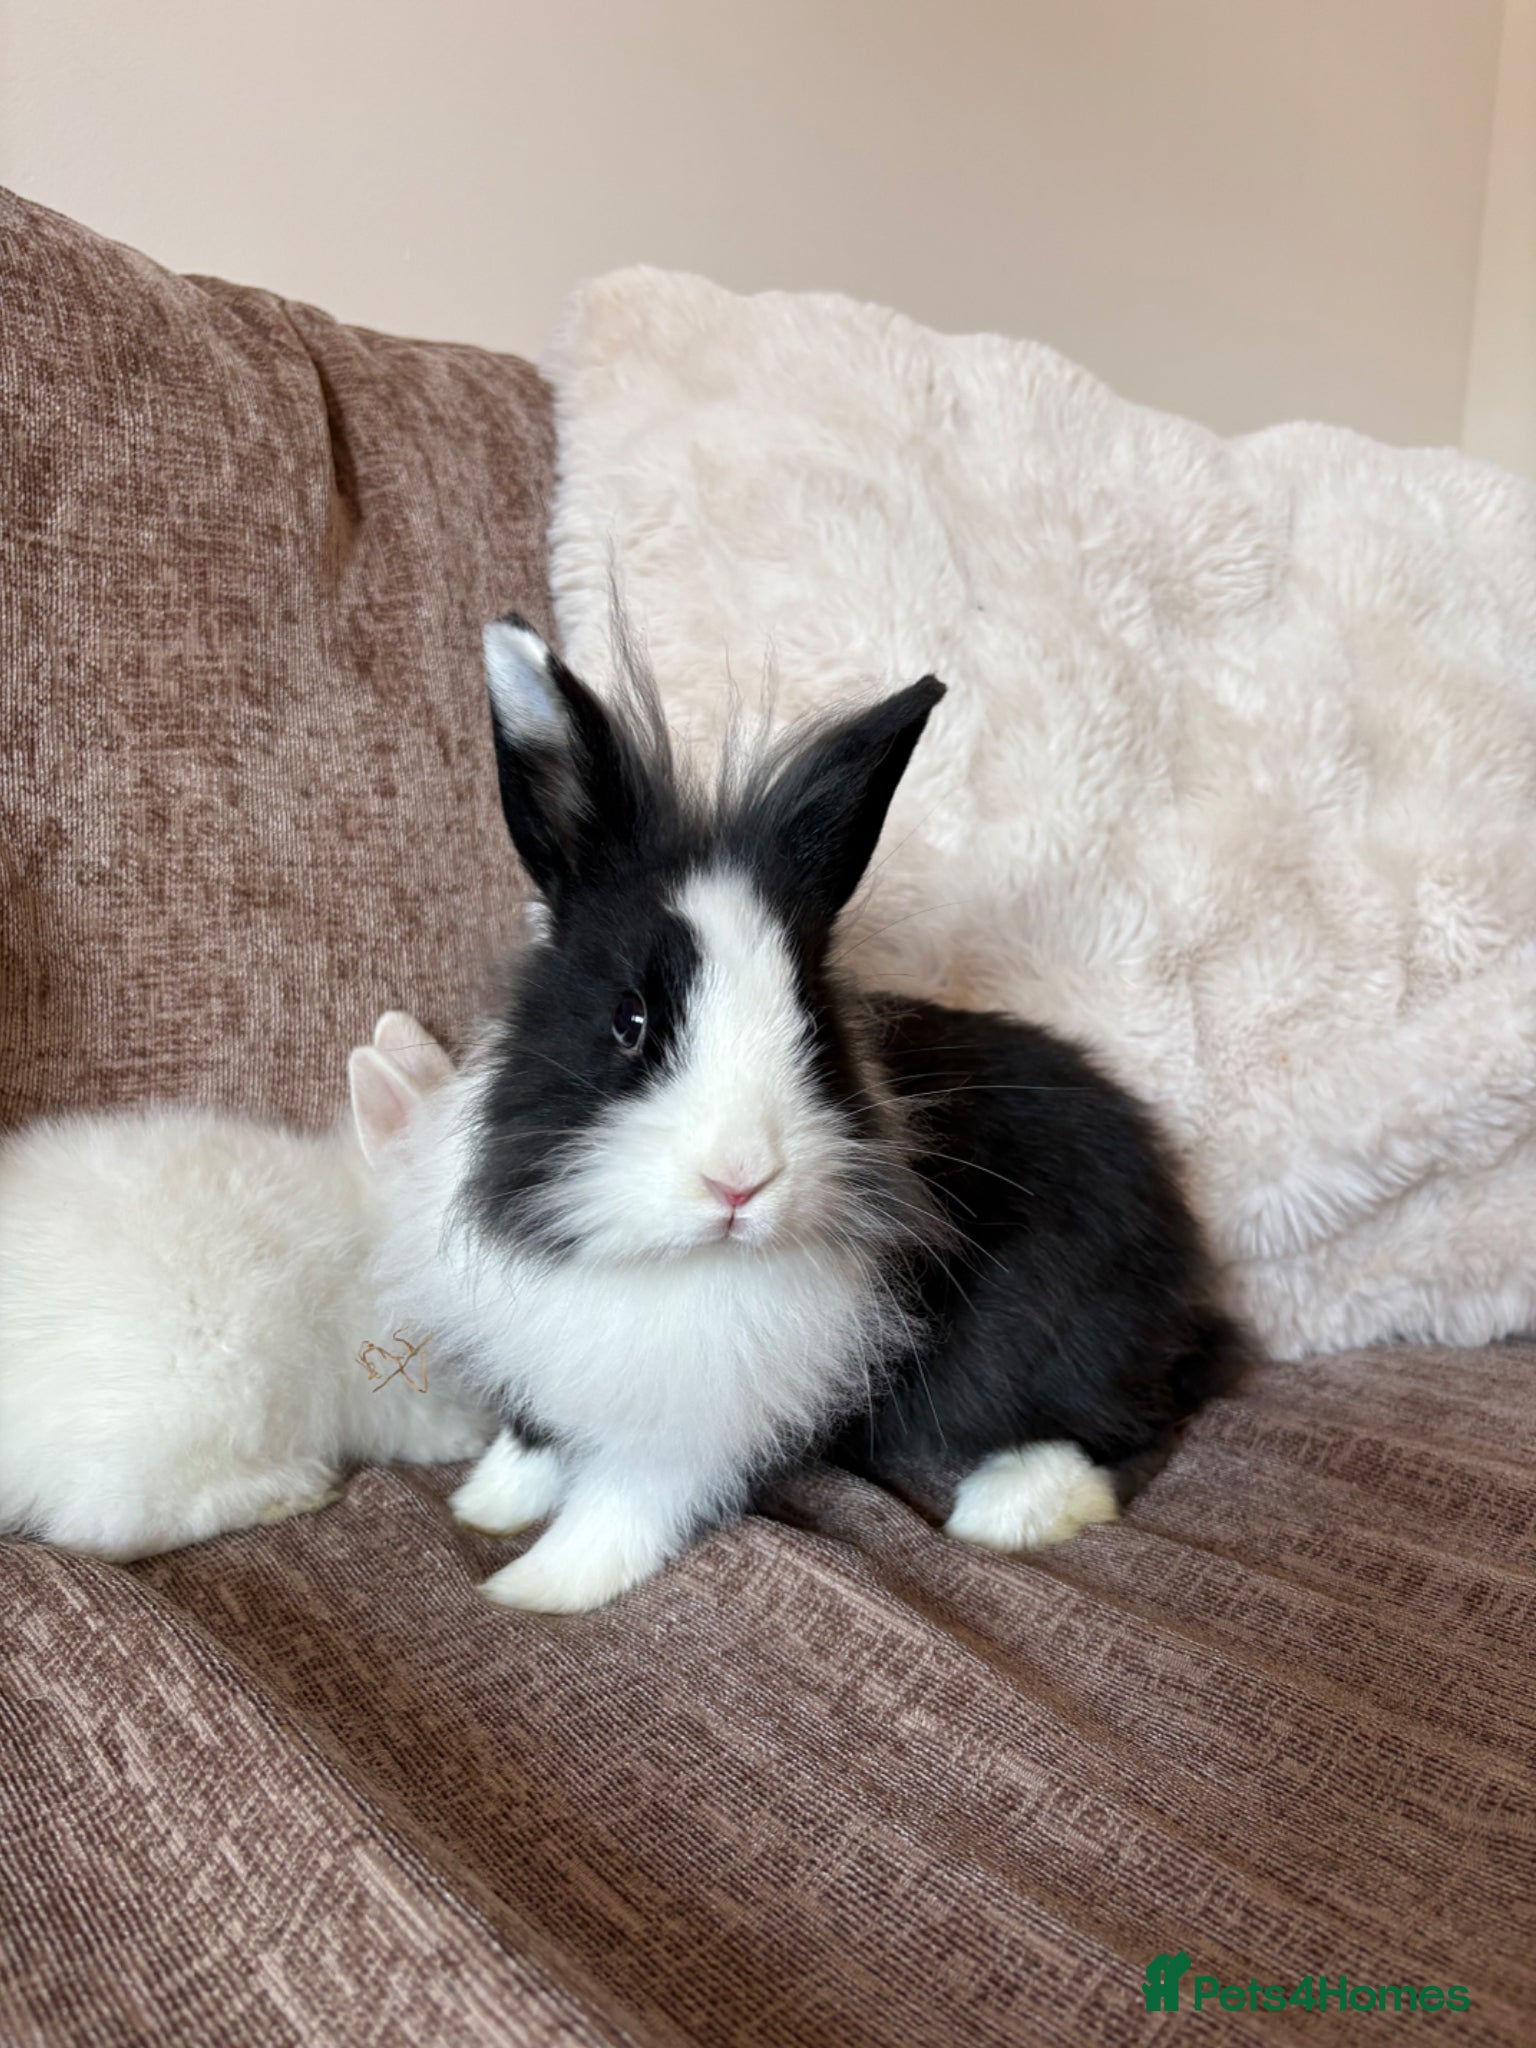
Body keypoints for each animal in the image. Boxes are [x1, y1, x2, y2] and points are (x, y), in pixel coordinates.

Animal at [372, 616, 1242, 1613]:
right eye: (630, 1022)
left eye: (815, 1027)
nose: (739, 1181)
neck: (672, 1263)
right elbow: (537, 1432)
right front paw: (487, 1505)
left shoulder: (691, 1422)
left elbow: (627, 1498)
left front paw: (534, 1588)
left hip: (1051, 1345)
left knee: (1139, 1421)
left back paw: (1011, 1506)